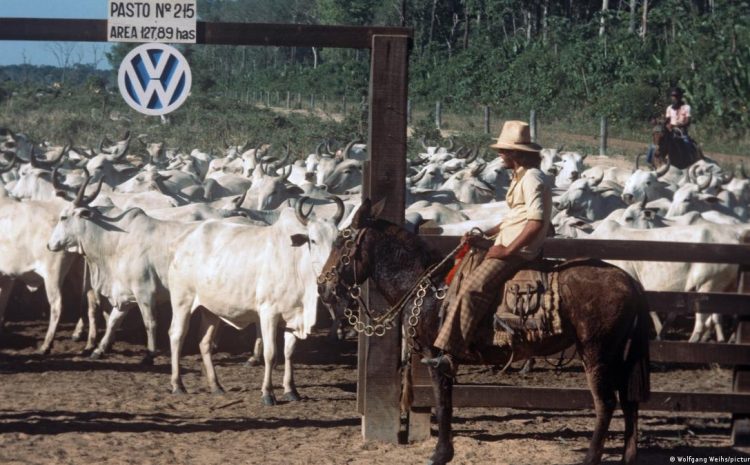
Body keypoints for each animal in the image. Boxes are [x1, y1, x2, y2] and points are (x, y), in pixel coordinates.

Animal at [318, 198, 652, 464]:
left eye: (341, 242)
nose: (323, 287)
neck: (426, 283)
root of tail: (628, 281)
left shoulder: (436, 356)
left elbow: (443, 403)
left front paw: (440, 454)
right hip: (621, 356)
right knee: (629, 402)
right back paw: (628, 456)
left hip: (596, 352)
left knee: (605, 404)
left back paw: (591, 457)